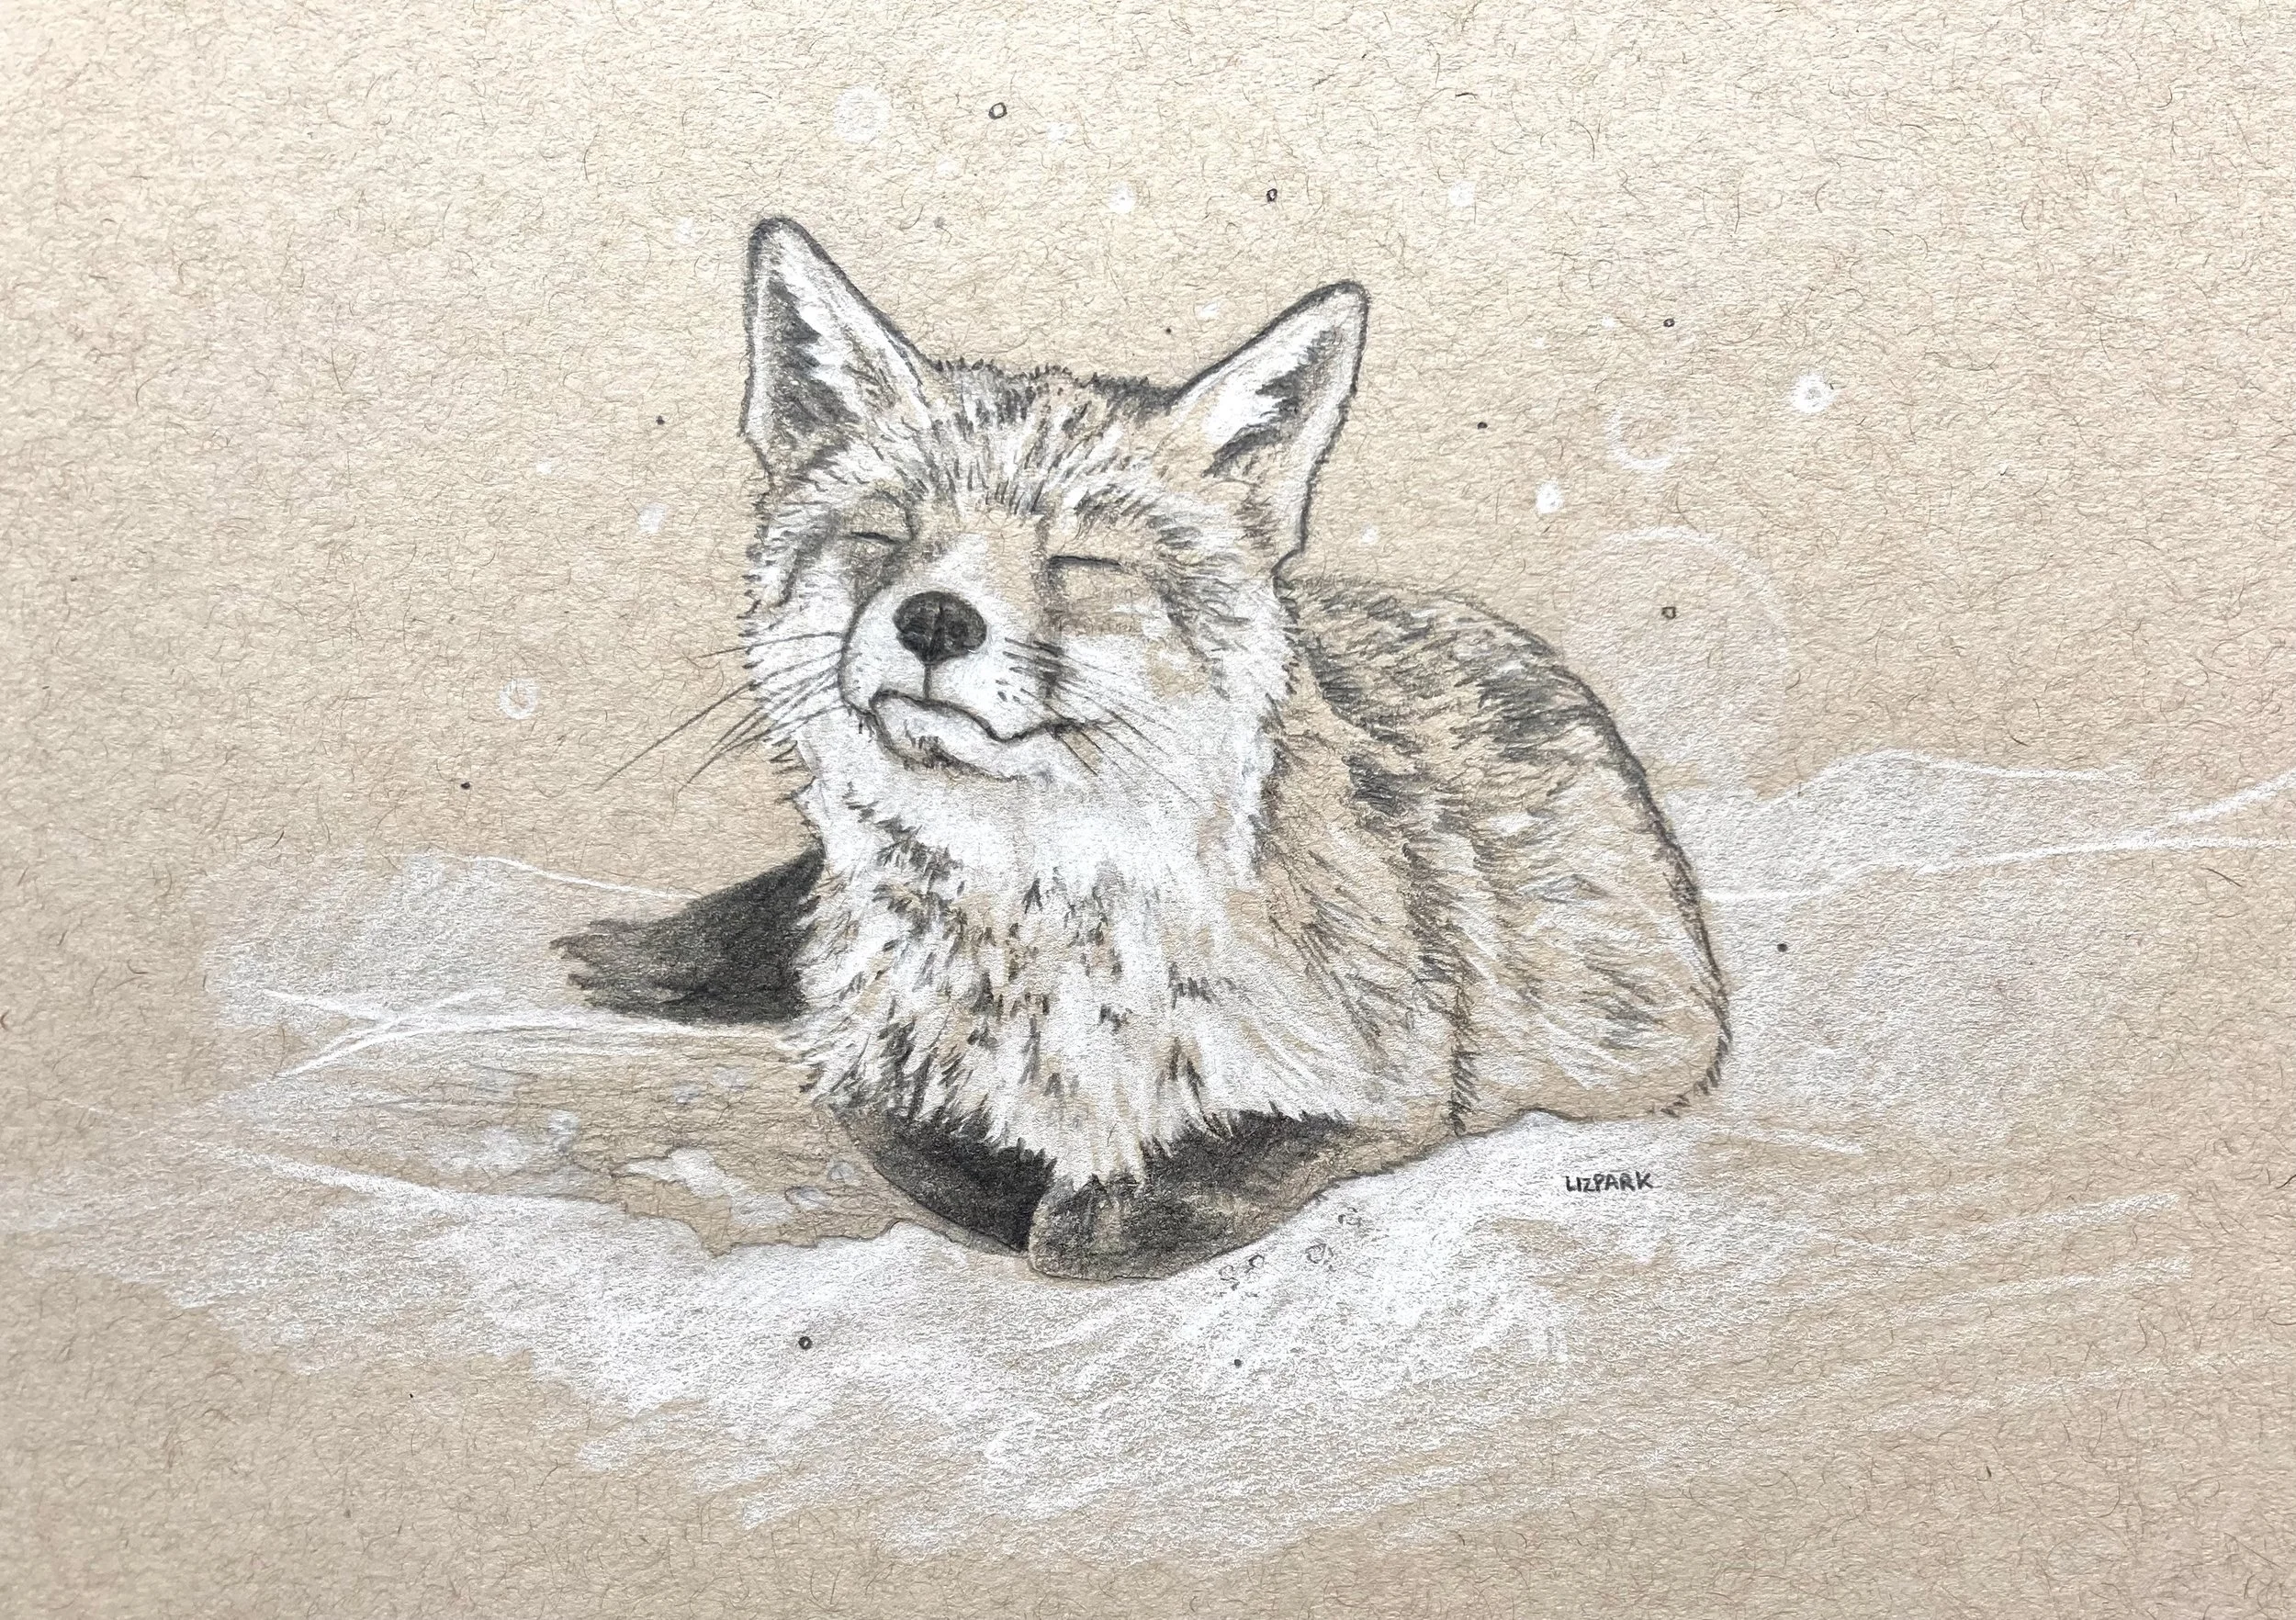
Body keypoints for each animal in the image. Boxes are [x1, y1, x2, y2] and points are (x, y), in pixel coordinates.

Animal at [558, 218, 1727, 1282]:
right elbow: (917, 1141)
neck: (1026, 935)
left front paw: (1104, 1211)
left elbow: (1254, 1152)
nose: (933, 619)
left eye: (1079, 561)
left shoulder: (1410, 1083)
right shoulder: (863, 1064)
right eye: (884, 536)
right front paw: (1024, 1181)